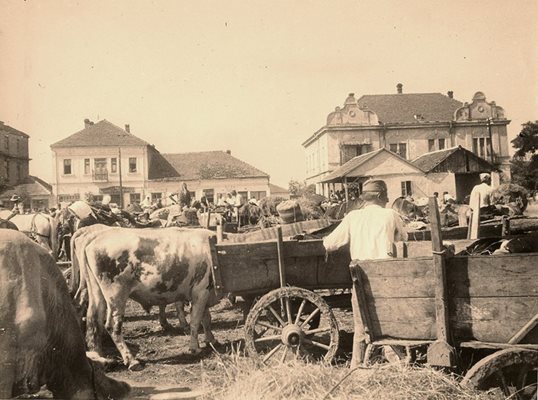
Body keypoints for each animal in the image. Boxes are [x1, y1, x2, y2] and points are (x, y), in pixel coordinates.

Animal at [77, 227, 216, 370]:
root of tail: (94, 239)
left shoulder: (205, 294)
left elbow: (206, 319)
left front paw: (210, 340)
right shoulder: (200, 292)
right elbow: (196, 321)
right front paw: (195, 348)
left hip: (96, 292)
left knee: (94, 321)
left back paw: (100, 358)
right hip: (116, 295)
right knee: (112, 326)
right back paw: (131, 360)